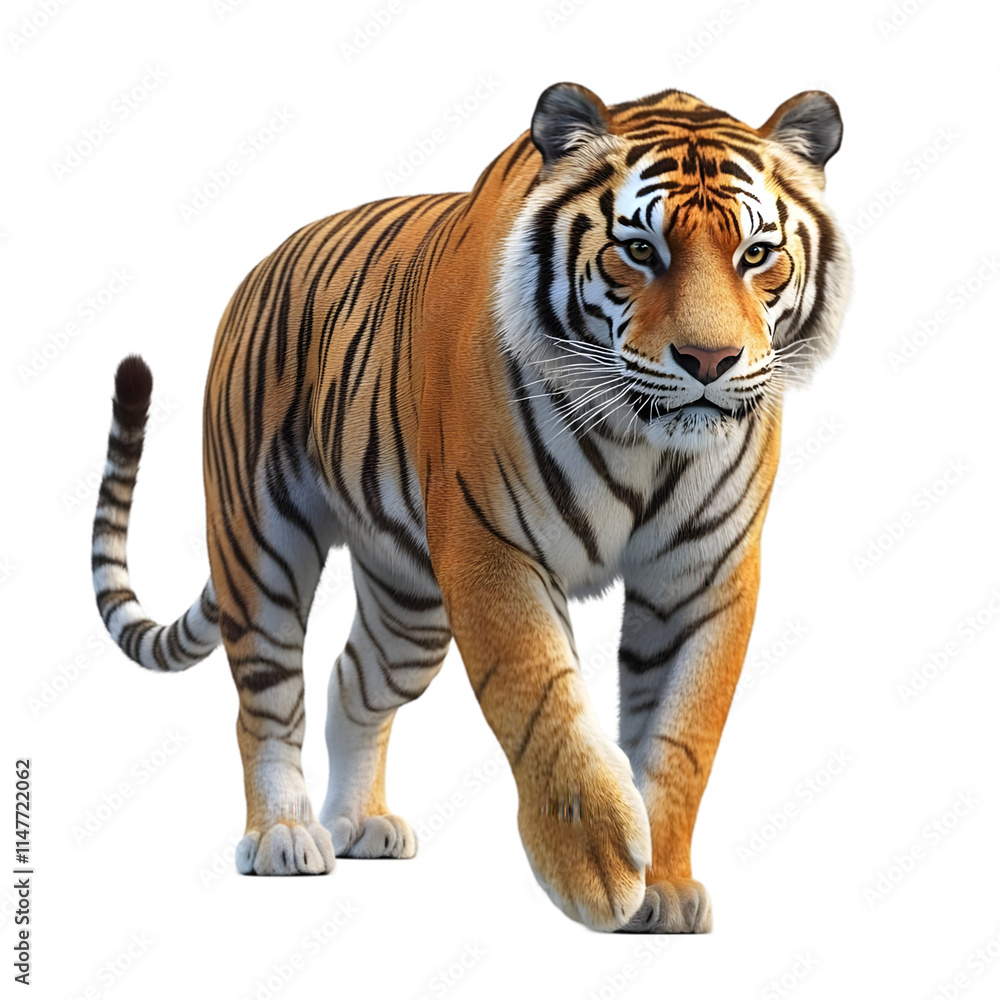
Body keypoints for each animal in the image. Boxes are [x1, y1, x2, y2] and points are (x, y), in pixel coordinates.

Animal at [91, 82, 849, 933]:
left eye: (756, 254)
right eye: (640, 251)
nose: (710, 361)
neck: (645, 439)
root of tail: (259, 266)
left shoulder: (706, 575)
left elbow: (682, 738)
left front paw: (667, 885)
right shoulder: (492, 549)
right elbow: (542, 700)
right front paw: (595, 866)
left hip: (408, 605)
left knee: (351, 681)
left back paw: (360, 823)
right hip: (261, 546)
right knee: (266, 698)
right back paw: (284, 835)